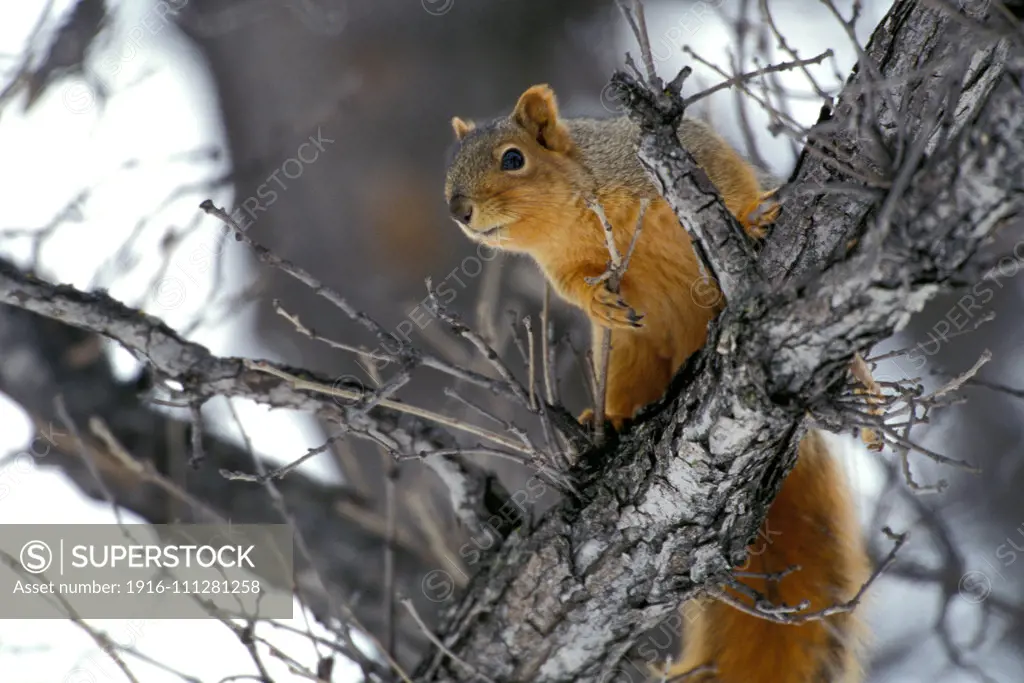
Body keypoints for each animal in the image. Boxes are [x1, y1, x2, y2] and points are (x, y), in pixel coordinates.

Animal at [444, 85, 868, 683]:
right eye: (451, 166)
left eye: (512, 159)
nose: (458, 210)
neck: (571, 216)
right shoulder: (563, 268)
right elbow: (576, 290)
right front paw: (596, 300)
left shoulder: (673, 158)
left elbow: (728, 185)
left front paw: (751, 219)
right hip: (627, 356)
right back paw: (609, 417)